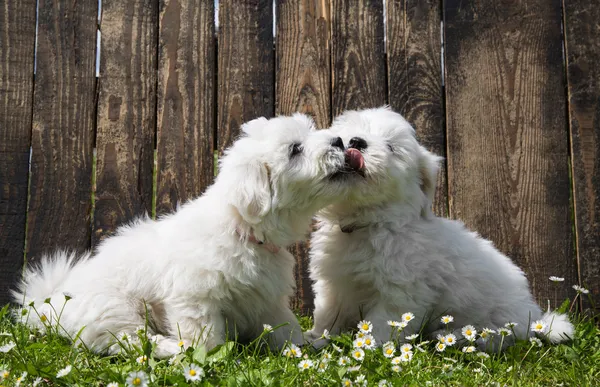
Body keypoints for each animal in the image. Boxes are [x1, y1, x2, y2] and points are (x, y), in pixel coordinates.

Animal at [12, 113, 346, 360]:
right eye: (295, 149)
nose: (340, 141)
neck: (242, 229)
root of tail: (51, 304)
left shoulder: (267, 298)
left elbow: (284, 327)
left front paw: (305, 346)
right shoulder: (195, 298)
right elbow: (206, 337)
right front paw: (214, 359)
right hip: (115, 308)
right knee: (129, 340)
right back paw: (170, 348)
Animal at [308, 107, 576, 352]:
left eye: (391, 147)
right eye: (348, 135)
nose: (356, 142)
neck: (371, 223)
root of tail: (535, 318)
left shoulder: (400, 292)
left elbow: (383, 324)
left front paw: (370, 350)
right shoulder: (334, 284)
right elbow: (328, 314)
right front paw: (317, 340)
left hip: (501, 319)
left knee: (494, 337)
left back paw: (449, 336)